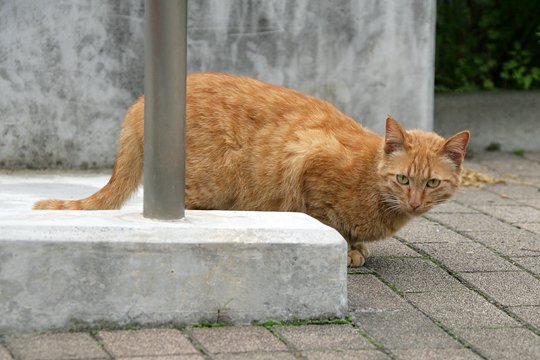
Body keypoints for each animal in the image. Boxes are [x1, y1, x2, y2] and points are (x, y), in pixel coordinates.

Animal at [33, 73, 468, 266]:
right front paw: (349, 251)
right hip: (208, 185)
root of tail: (141, 102)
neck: (370, 182)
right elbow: (328, 220)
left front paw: (357, 247)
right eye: (402, 179)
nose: (414, 201)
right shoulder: (306, 158)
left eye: (431, 183)